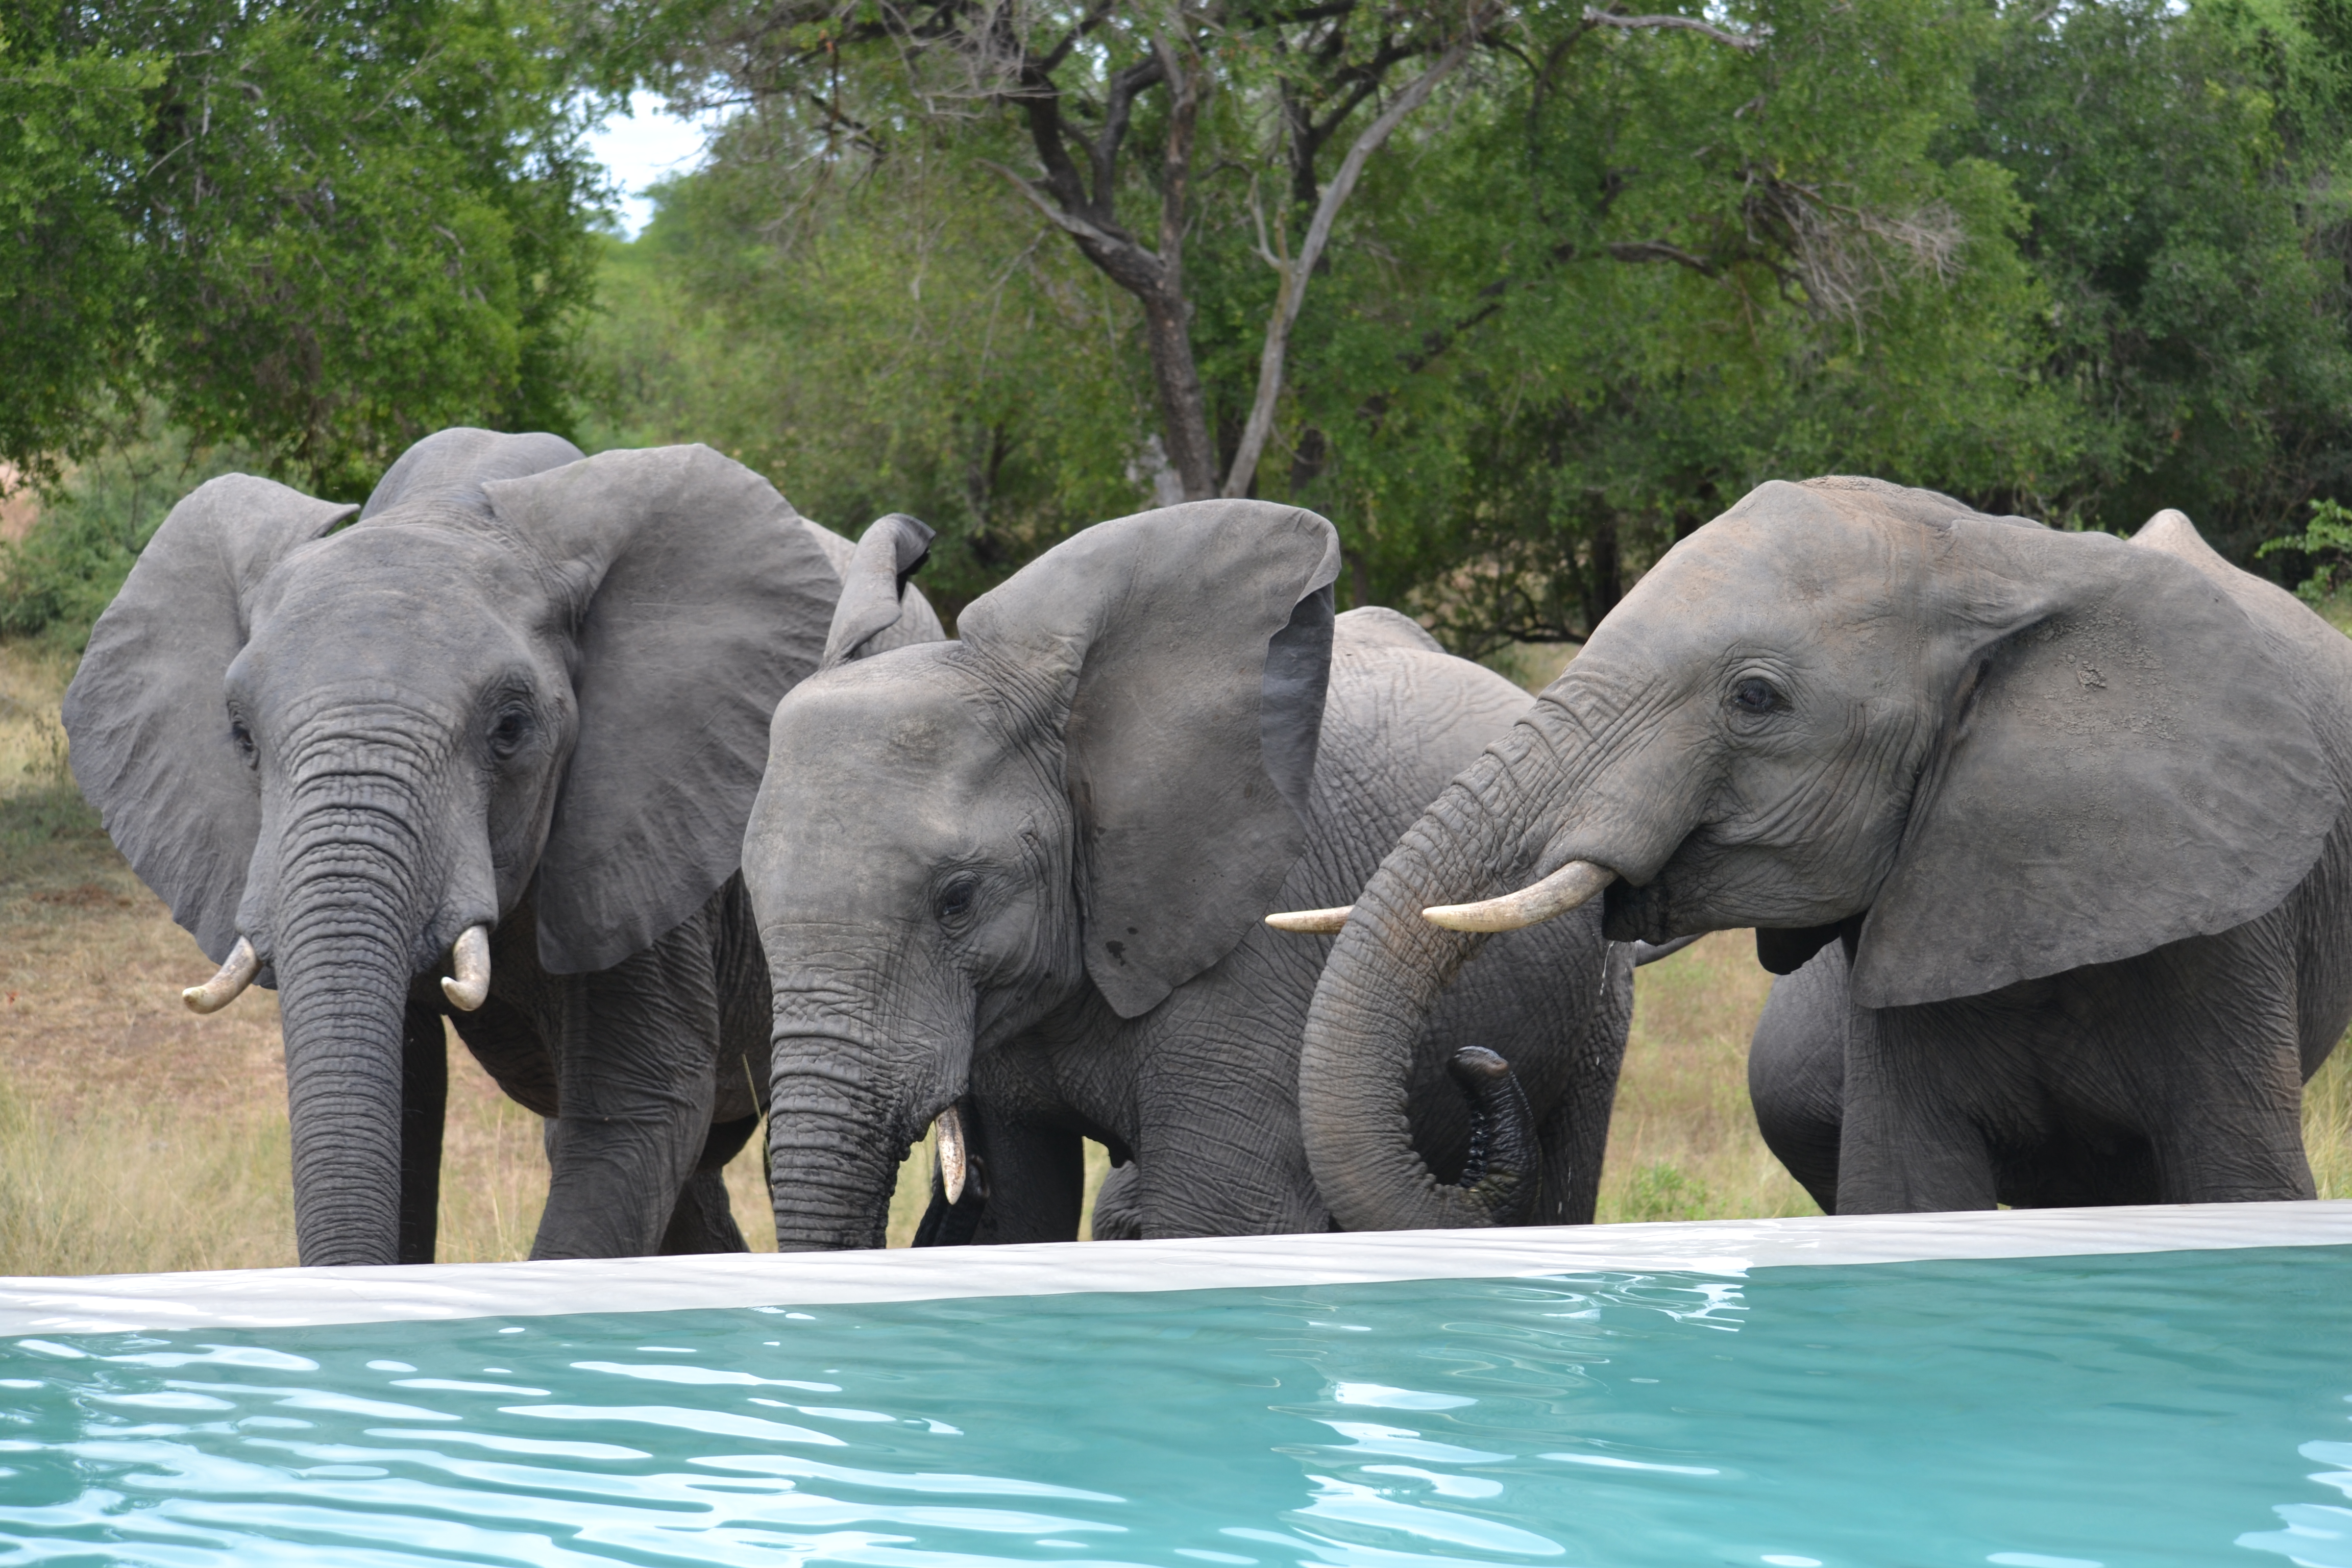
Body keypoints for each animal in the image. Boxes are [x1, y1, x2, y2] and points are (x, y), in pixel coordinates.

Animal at [63, 427, 939, 1265]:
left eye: (511, 730)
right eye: (241, 737)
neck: (450, 504)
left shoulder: (645, 828)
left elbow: (638, 1109)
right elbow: (405, 1102)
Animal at [1288, 474, 2352, 1222]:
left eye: (1754, 698)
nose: (1472, 1058)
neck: (1998, 559)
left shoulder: (2225, 924)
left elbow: (2240, 1184)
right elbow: (1905, 1196)